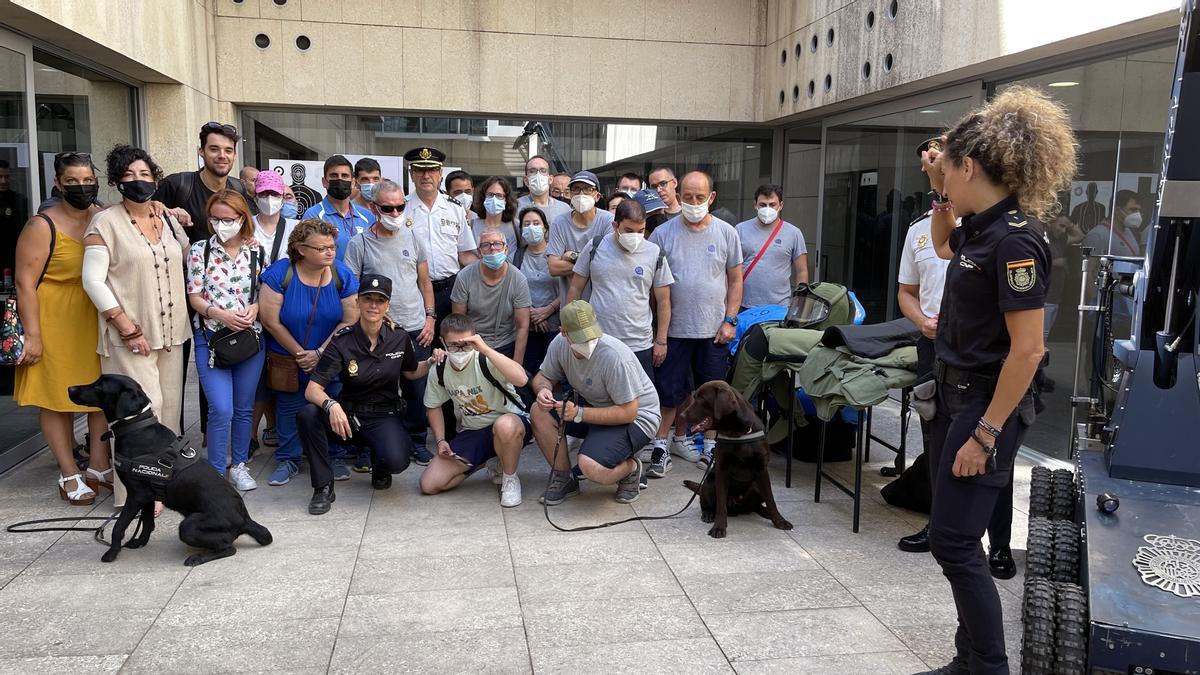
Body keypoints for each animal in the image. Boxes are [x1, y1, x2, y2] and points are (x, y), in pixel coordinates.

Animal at [68, 372, 272, 562]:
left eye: (99, 386)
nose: (69, 388)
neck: (136, 425)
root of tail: (245, 519)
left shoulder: (136, 495)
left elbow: (118, 527)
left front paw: (111, 553)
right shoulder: (147, 495)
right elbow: (147, 523)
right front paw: (139, 542)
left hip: (188, 526)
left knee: (228, 548)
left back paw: (197, 558)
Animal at [681, 381, 792, 538]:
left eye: (701, 399)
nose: (682, 415)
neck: (738, 432)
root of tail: (737, 507)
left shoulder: (762, 469)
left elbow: (771, 500)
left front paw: (780, 521)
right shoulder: (722, 469)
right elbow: (721, 504)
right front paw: (719, 527)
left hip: (756, 487)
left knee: (756, 506)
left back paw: (765, 512)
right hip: (709, 482)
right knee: (706, 502)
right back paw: (708, 514)